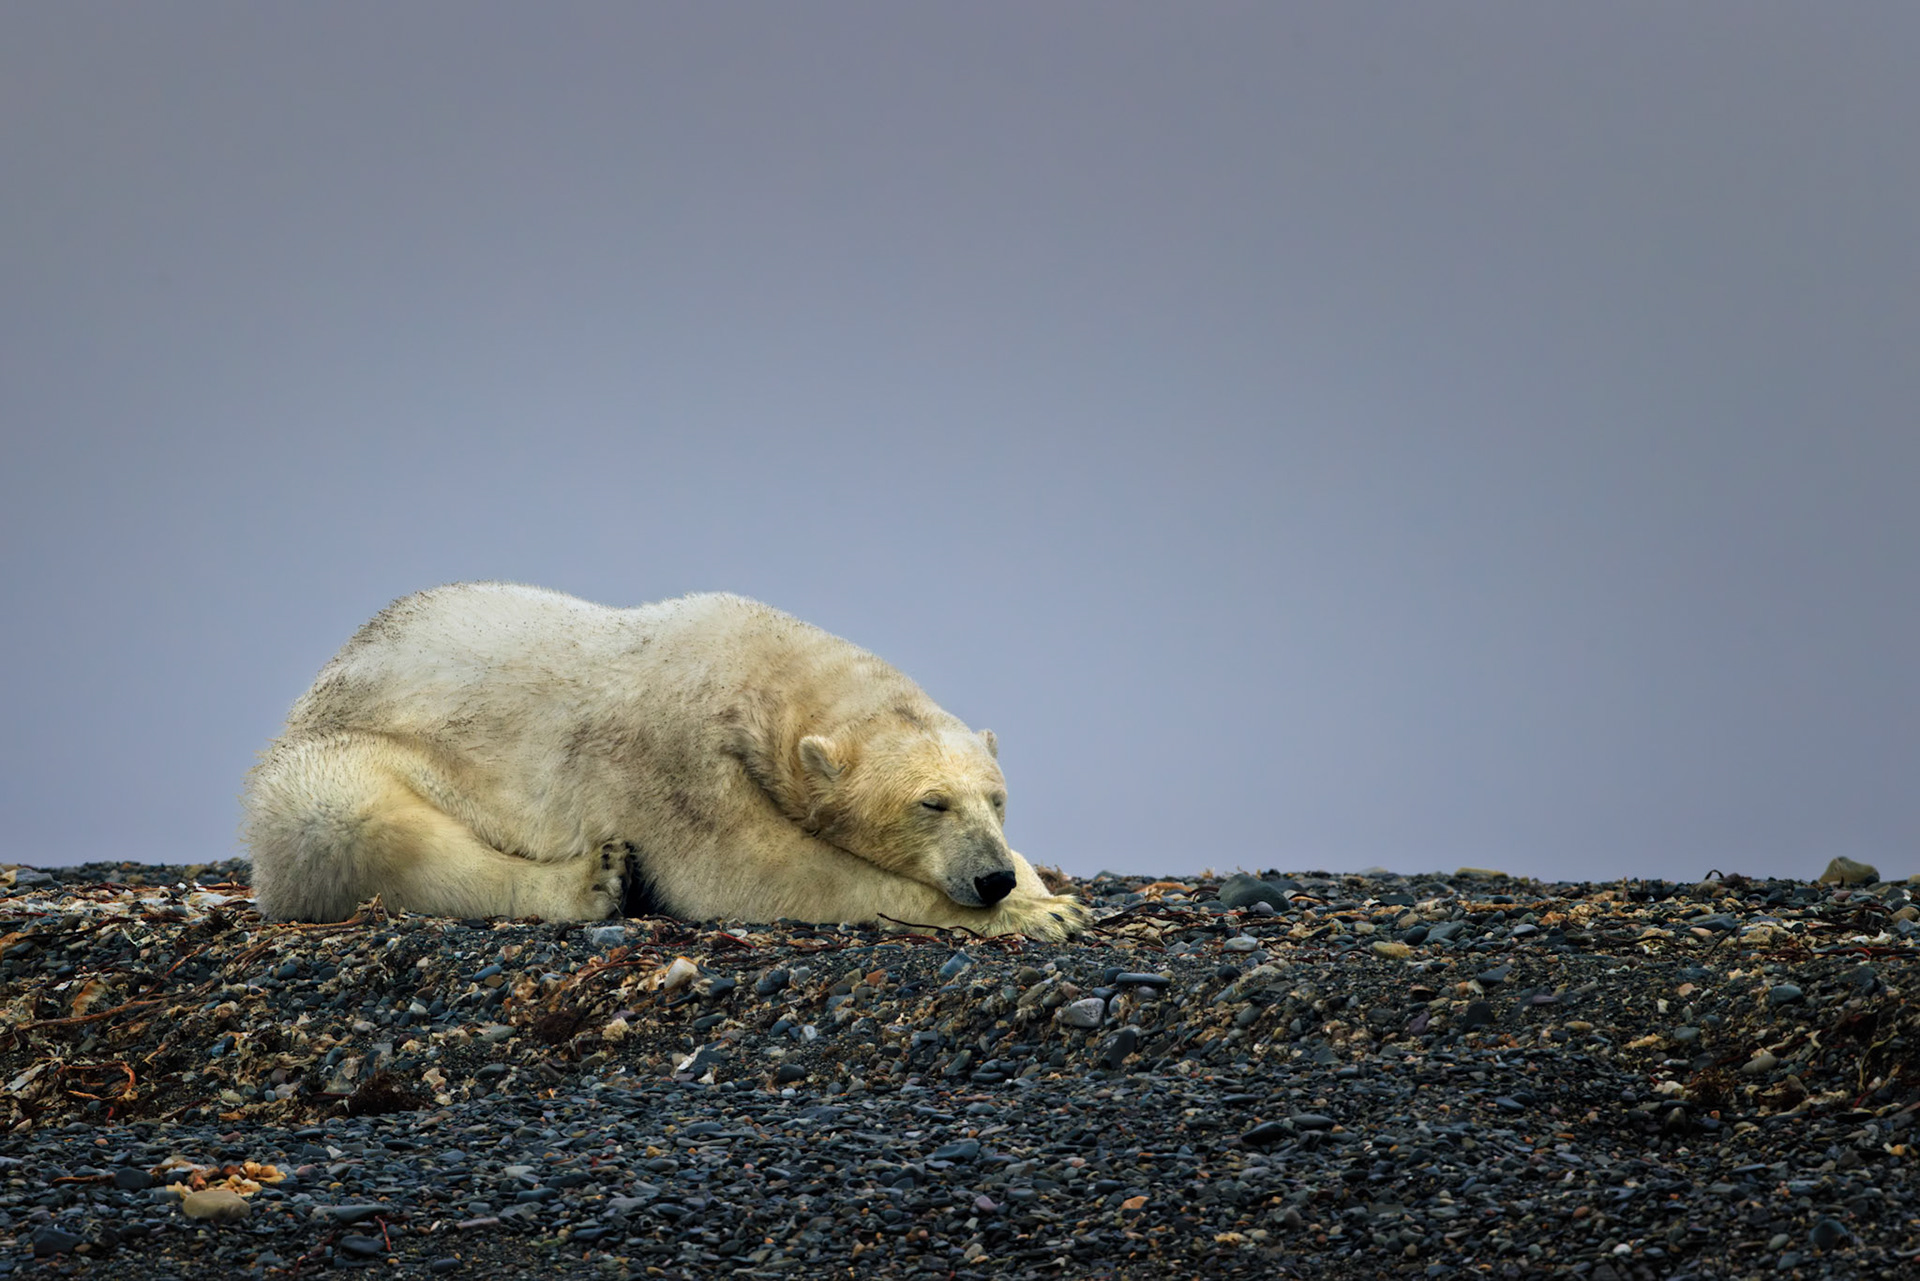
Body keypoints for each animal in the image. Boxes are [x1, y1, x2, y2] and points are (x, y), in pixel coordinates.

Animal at [244, 583, 1089, 940]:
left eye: (997, 798)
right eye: (929, 803)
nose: (990, 876)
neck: (757, 670)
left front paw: (1043, 891)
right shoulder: (675, 760)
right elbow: (759, 873)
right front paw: (1040, 914)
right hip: (339, 754)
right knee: (351, 820)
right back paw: (593, 880)